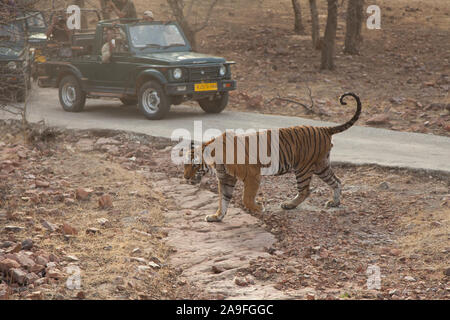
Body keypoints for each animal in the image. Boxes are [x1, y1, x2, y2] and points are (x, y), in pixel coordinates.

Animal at [183, 92, 362, 222]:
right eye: (184, 165)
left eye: (194, 165)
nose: (185, 178)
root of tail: (324, 129)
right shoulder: (226, 179)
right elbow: (223, 200)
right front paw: (217, 217)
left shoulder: (252, 175)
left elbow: (246, 198)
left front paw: (260, 207)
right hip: (321, 165)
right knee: (336, 181)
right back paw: (334, 202)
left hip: (303, 168)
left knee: (305, 190)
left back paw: (289, 205)